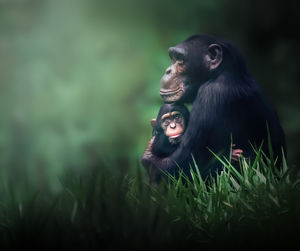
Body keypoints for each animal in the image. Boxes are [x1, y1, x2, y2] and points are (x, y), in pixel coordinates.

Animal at [142, 33, 288, 182]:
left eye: (180, 58)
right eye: (172, 57)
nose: (168, 71)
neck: (220, 73)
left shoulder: (211, 95)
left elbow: (182, 164)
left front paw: (150, 159)